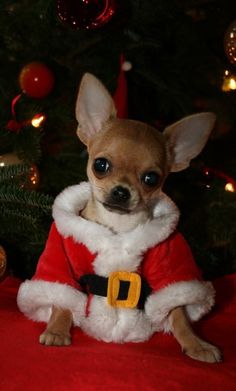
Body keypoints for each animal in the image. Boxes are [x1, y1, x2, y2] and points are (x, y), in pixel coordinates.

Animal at [18, 74, 221, 364]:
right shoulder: (61, 261)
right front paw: (57, 329)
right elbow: (62, 301)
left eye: (151, 178)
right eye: (100, 165)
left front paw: (195, 342)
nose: (122, 191)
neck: (118, 225)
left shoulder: (170, 263)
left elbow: (179, 312)